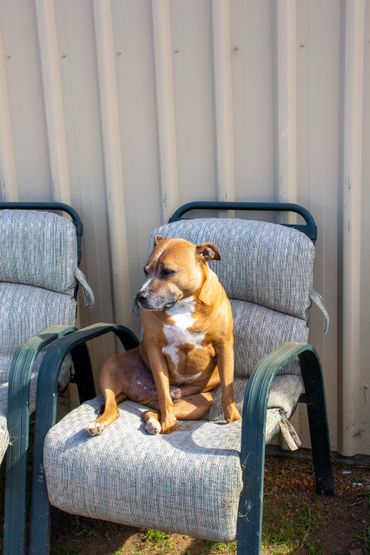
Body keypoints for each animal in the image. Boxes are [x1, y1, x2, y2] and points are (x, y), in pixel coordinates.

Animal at [86, 237, 241, 436]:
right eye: (145, 270)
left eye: (168, 271)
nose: (139, 296)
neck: (183, 304)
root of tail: (141, 397)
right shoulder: (155, 349)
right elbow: (163, 391)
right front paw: (169, 425)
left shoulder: (224, 346)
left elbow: (228, 389)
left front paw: (234, 418)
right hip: (110, 368)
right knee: (117, 407)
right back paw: (99, 424)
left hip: (197, 405)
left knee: (150, 411)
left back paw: (153, 421)